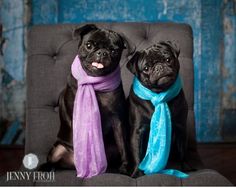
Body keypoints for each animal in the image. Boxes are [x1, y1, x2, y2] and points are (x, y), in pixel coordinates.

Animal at [45, 24, 130, 175]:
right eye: (89, 45)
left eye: (114, 51)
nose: (102, 52)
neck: (94, 82)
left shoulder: (117, 120)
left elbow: (123, 146)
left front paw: (125, 168)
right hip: (56, 150)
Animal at [126, 41, 187, 178]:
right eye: (146, 68)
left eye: (168, 59)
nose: (159, 67)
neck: (159, 94)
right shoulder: (137, 132)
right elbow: (137, 156)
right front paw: (137, 173)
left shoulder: (180, 129)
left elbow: (183, 153)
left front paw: (186, 168)